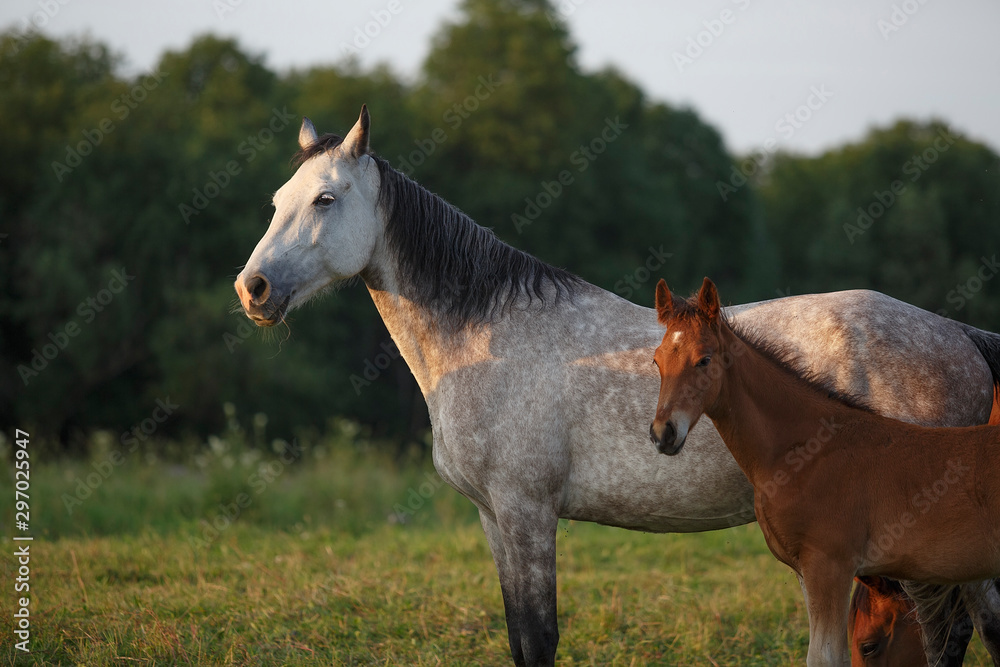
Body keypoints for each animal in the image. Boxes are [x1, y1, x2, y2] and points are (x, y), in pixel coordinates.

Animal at [649, 277, 1000, 666]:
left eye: (704, 360)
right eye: (657, 361)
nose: (663, 433)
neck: (806, 449)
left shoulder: (830, 566)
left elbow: (825, 657)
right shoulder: (807, 569)